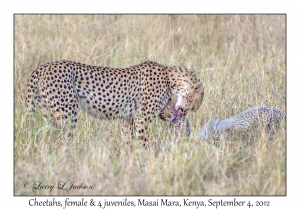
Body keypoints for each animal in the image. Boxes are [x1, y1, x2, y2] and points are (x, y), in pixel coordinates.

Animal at [25, 60, 205, 147]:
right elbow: (143, 141)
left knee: (50, 135)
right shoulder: (141, 118)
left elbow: (127, 140)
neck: (170, 77)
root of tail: (41, 68)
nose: (187, 111)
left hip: (48, 114)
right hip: (67, 114)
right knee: (64, 139)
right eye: (198, 101)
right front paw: (146, 158)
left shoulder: (127, 118)